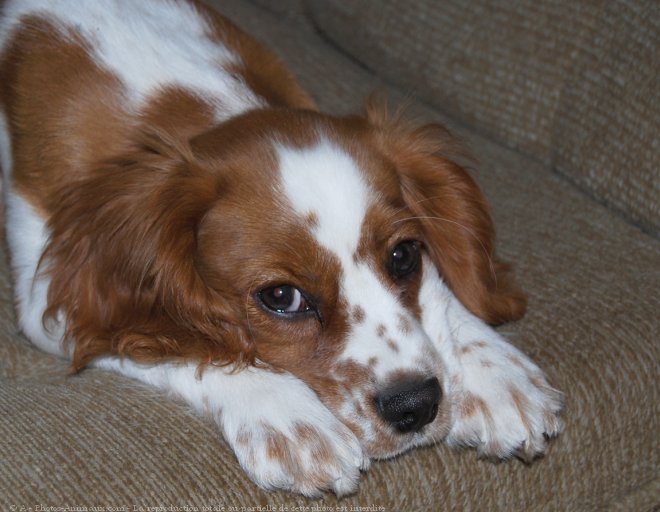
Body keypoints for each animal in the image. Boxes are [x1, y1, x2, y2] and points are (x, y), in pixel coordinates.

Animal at [0, 0, 564, 496]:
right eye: (281, 298)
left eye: (404, 256)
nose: (417, 405)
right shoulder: (56, 301)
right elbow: (188, 343)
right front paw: (288, 418)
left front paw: (495, 371)